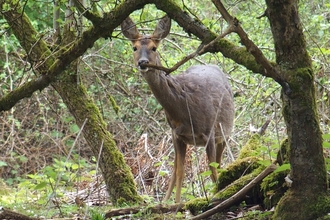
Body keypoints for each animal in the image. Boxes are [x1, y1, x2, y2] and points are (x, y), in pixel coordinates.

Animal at [121, 14, 235, 202]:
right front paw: (175, 203)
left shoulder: (209, 132)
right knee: (176, 169)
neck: (184, 108)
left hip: (225, 131)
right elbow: (180, 171)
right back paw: (165, 200)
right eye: (134, 47)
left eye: (154, 48)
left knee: (219, 163)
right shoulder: (177, 135)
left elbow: (211, 169)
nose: (143, 62)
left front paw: (217, 195)